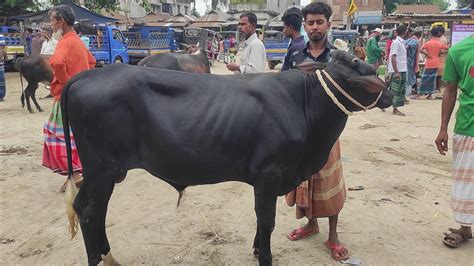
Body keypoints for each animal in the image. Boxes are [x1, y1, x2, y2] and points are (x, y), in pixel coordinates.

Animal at [60, 51, 392, 264]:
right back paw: (97, 258)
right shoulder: (269, 174)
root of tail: (87, 74)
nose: (389, 92)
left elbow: (261, 221)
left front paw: (257, 250)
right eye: (356, 64)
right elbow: (266, 220)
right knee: (89, 212)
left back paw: (108, 255)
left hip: (103, 172)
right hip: (102, 169)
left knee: (90, 209)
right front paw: (265, 257)